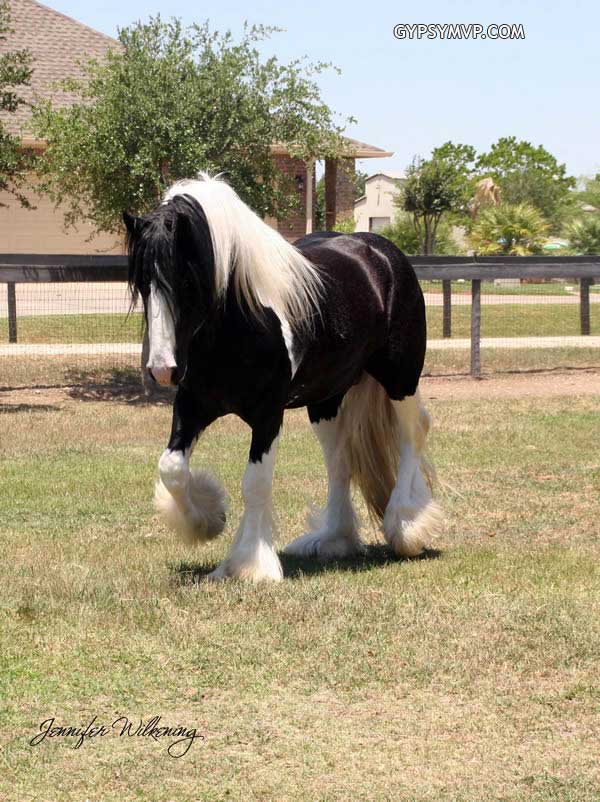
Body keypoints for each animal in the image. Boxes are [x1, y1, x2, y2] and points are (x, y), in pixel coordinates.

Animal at [124, 173, 443, 582]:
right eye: (142, 284)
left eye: (187, 282)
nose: (163, 368)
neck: (240, 323)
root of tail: (380, 250)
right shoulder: (193, 405)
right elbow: (172, 469)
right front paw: (207, 520)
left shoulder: (267, 414)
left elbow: (255, 484)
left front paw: (248, 564)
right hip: (325, 399)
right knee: (339, 460)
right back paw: (333, 538)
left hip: (400, 378)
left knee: (413, 431)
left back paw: (406, 527)